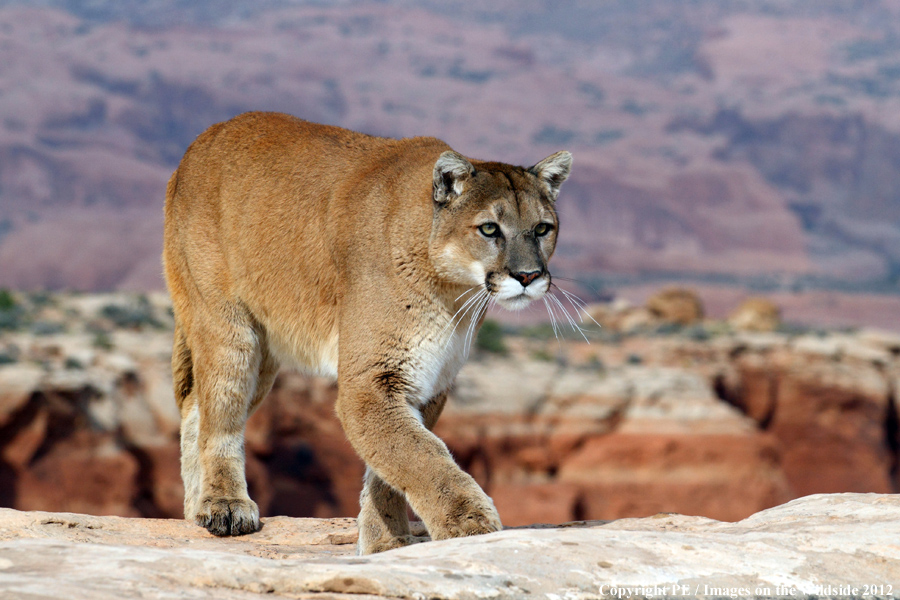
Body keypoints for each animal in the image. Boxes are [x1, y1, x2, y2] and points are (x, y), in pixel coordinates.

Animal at [164, 111, 572, 552]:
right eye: (490, 229)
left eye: (542, 228)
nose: (528, 276)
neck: (452, 290)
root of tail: (203, 138)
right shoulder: (372, 379)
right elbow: (421, 456)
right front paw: (469, 526)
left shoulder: (428, 381)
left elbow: (393, 464)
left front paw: (385, 542)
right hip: (230, 330)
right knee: (220, 415)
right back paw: (224, 506)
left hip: (265, 352)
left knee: (195, 408)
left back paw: (195, 509)